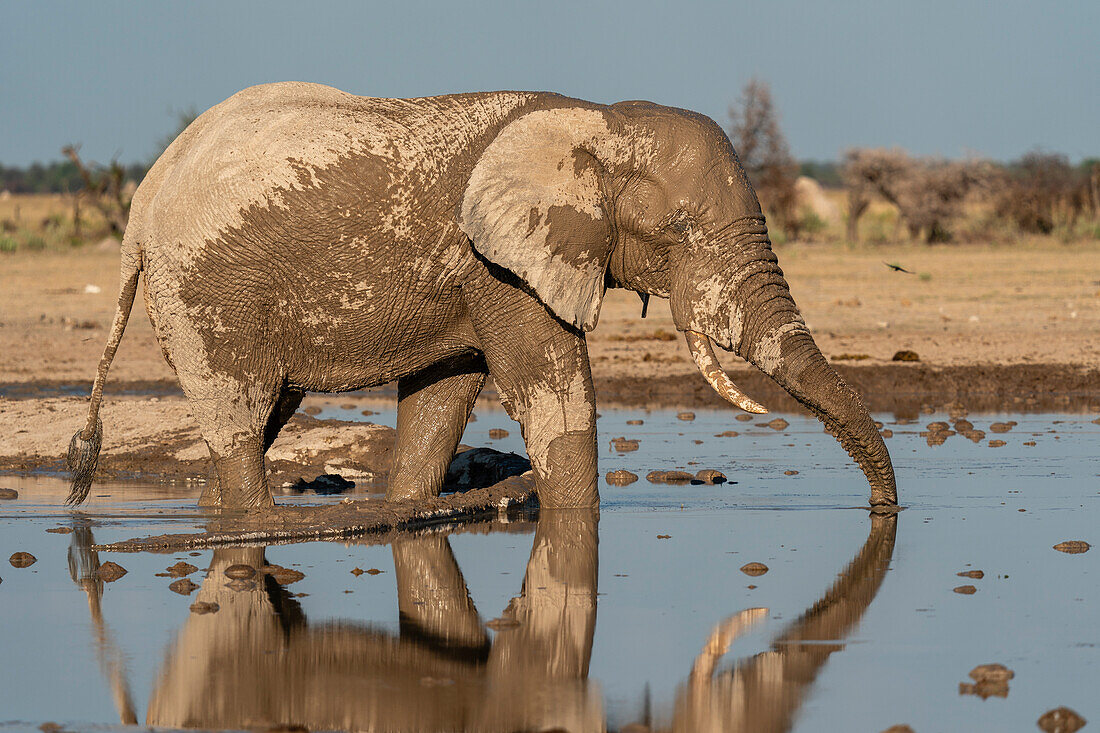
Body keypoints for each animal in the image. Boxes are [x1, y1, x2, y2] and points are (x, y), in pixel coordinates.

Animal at [66, 81, 893, 508]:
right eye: (679, 228)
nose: (885, 513)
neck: (597, 118)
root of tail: (141, 204)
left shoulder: (472, 277)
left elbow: (441, 402)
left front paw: (407, 510)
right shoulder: (499, 264)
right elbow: (554, 393)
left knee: (266, 415)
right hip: (205, 293)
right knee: (239, 421)